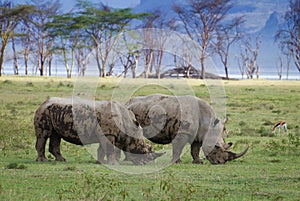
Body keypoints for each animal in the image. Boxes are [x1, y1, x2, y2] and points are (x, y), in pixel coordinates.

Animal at [34, 97, 164, 165]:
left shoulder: (106, 133)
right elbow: (109, 149)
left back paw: (62, 160)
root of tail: (43, 103)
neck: (128, 125)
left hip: (54, 112)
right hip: (44, 112)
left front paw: (100, 162)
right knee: (44, 135)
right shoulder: (108, 133)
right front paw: (114, 164)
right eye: (142, 148)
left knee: (56, 135)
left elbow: (102, 149)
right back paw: (43, 161)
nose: (144, 163)